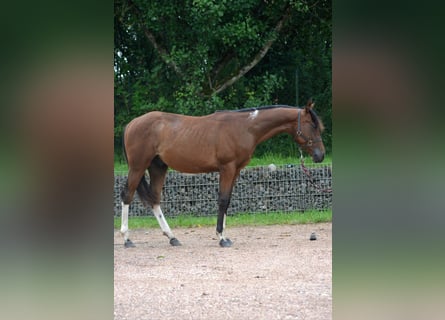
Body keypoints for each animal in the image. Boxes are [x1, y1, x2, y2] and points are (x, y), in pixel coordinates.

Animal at [119, 99, 324, 248]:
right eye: (312, 125)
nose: (320, 155)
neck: (244, 127)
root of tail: (131, 124)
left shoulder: (235, 171)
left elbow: (228, 200)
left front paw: (225, 234)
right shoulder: (227, 168)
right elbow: (223, 200)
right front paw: (221, 237)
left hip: (158, 167)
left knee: (154, 200)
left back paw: (172, 237)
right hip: (138, 167)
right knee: (127, 195)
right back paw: (127, 239)